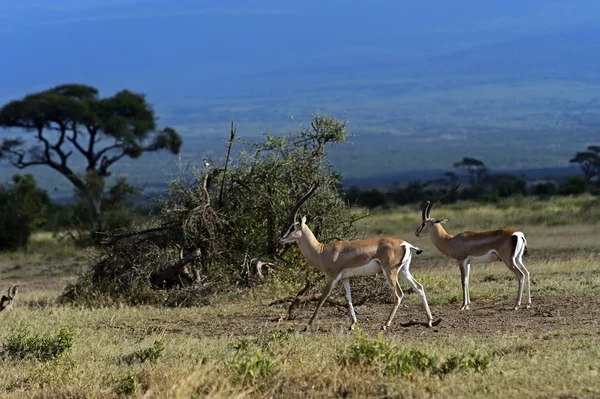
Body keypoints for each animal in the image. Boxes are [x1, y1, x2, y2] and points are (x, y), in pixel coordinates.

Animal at [278, 186, 434, 332]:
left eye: (292, 227)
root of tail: (405, 244)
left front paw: (307, 326)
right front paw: (353, 324)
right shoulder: (344, 278)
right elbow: (349, 298)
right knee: (419, 287)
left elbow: (322, 298)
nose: (281, 239)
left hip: (390, 272)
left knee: (399, 294)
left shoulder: (332, 277)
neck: (322, 251)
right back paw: (430, 321)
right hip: (403, 271)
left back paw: (385, 324)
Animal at [418, 184, 528, 312]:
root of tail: (517, 234)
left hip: (509, 261)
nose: (416, 233)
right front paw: (468, 304)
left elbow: (462, 281)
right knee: (527, 273)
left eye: (424, 223)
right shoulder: (468, 263)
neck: (451, 241)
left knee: (521, 275)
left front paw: (462, 306)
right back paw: (528, 304)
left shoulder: (461, 261)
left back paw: (516, 305)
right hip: (517, 259)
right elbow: (467, 280)